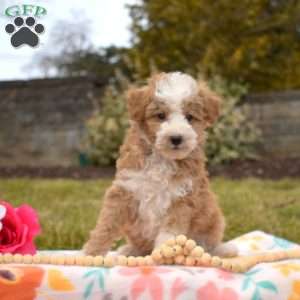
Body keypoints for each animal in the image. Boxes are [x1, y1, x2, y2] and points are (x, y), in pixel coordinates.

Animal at [82, 71, 237, 256]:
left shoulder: (182, 198)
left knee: (209, 245)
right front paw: (90, 254)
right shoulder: (125, 188)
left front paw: (163, 255)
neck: (162, 159)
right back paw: (129, 250)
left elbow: (169, 233)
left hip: (213, 223)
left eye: (190, 117)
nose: (176, 138)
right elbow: (106, 225)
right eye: (161, 115)